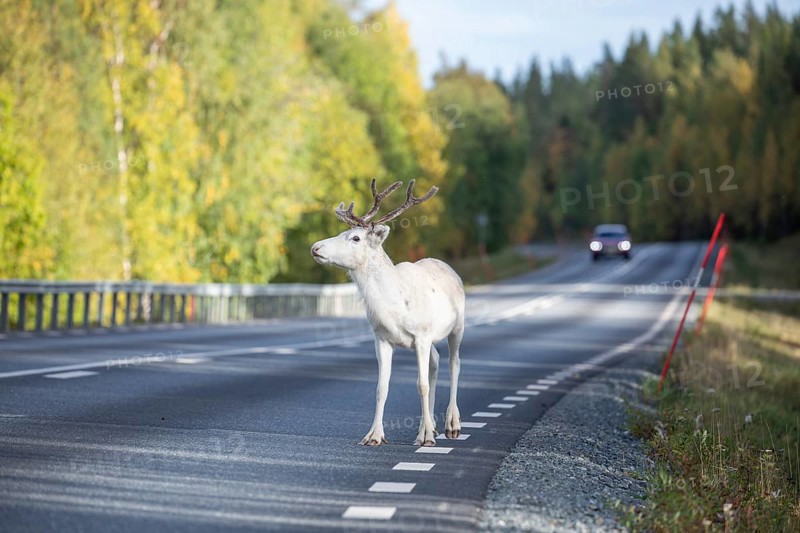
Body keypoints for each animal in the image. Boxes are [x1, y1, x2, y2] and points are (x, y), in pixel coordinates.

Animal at [311, 179, 465, 447]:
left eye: (355, 238)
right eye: (342, 233)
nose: (315, 247)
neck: (393, 308)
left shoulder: (422, 336)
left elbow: (421, 385)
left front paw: (426, 438)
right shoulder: (382, 338)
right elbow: (381, 387)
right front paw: (374, 435)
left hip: (458, 326)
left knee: (453, 363)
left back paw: (451, 425)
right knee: (436, 361)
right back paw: (429, 426)